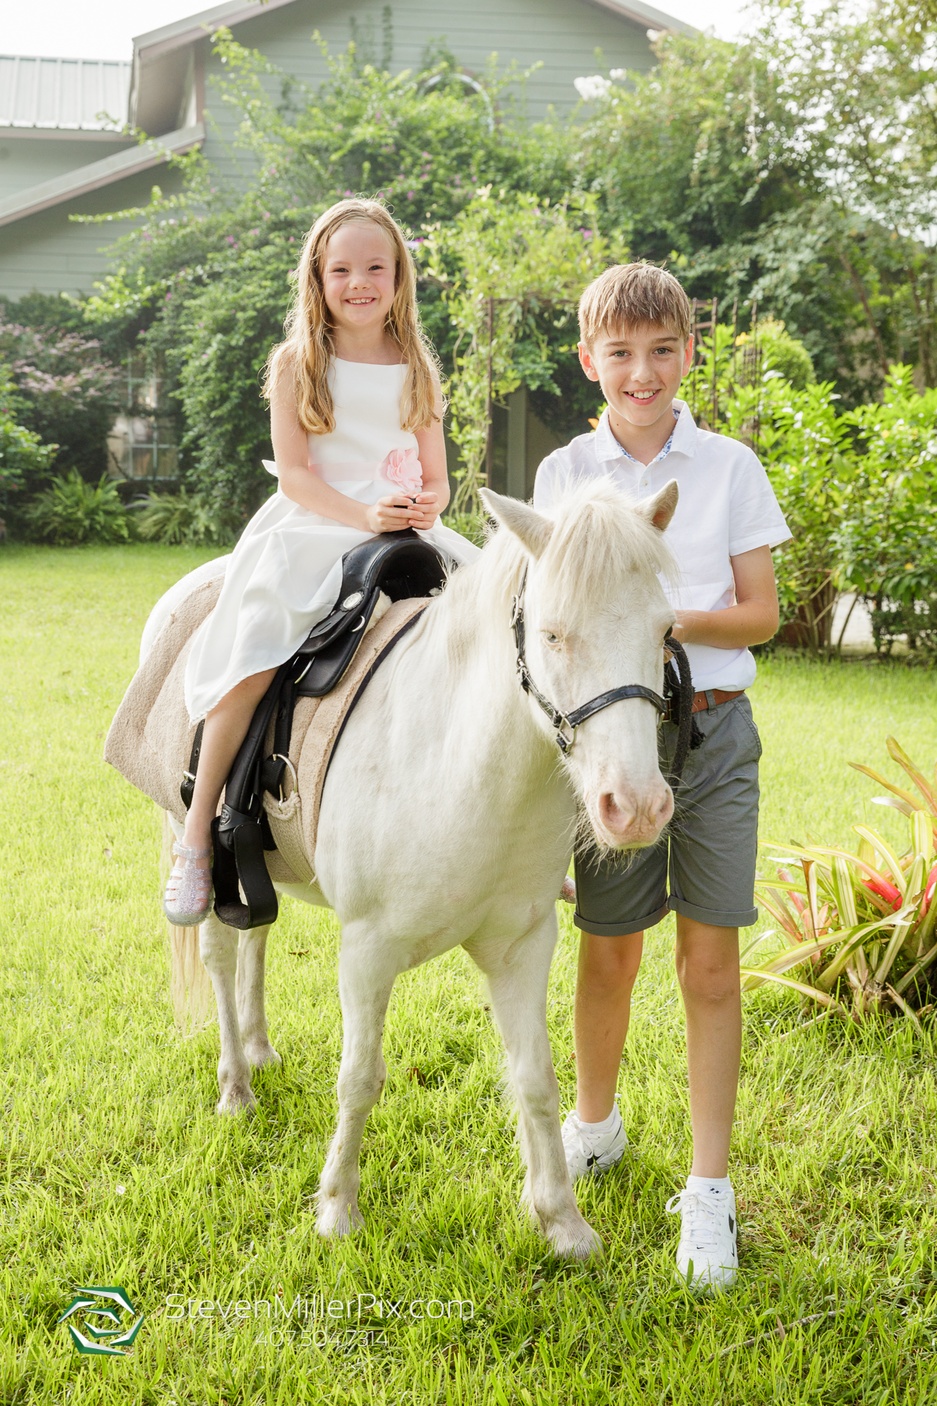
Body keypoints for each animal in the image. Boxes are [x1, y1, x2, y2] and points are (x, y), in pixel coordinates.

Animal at [144, 478, 672, 1259]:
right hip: (193, 838)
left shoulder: (522, 946)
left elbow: (537, 1078)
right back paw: (236, 1083)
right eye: (552, 634)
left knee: (256, 937)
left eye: (666, 632)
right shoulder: (367, 951)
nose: (634, 808)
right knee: (215, 950)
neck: (460, 765)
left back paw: (260, 1049)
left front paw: (561, 1220)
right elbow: (360, 1078)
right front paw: (337, 1209)